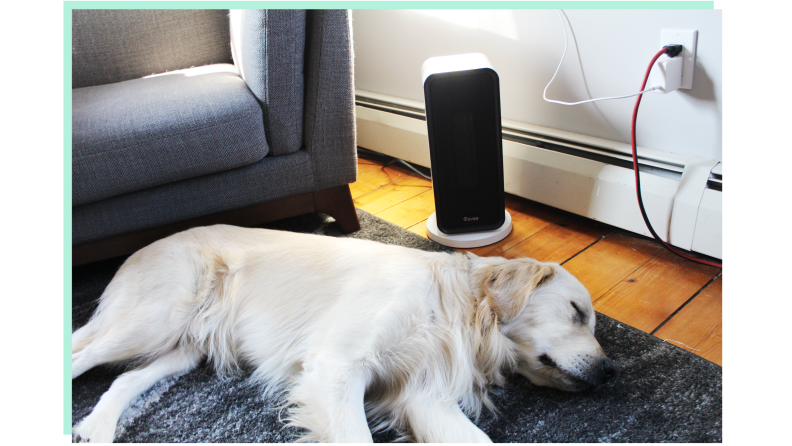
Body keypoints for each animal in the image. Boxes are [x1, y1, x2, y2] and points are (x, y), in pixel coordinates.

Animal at [71, 226, 616, 442]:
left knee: (122, 380)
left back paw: (95, 429)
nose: (612, 371)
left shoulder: (423, 396)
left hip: (182, 348)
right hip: (154, 319)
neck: (455, 307)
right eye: (576, 312)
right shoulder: (338, 366)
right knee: (78, 354)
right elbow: (354, 435)